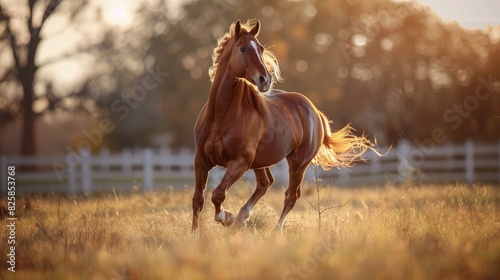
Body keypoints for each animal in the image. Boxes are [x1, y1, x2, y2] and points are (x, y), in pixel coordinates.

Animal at [191, 19, 376, 234]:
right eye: (243, 48)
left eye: (261, 48)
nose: (265, 80)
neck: (221, 117)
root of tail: (314, 111)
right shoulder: (201, 159)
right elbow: (198, 199)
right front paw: (195, 234)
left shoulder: (239, 162)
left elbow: (218, 194)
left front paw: (226, 218)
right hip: (261, 161)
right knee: (265, 183)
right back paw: (242, 219)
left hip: (297, 163)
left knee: (291, 195)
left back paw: (274, 230)